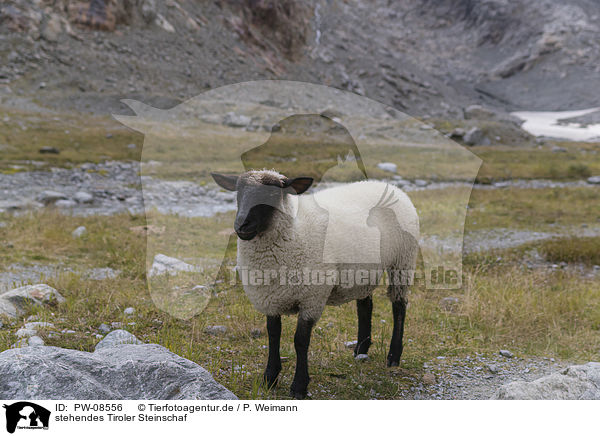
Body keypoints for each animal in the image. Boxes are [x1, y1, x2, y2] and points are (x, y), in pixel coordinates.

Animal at [213, 168, 420, 398]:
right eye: (238, 193)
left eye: (272, 194)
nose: (241, 226)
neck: (294, 232)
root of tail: (389, 186)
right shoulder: (271, 297)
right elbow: (273, 335)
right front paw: (270, 378)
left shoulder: (311, 298)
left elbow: (300, 341)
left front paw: (299, 386)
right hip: (364, 269)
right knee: (365, 305)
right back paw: (361, 349)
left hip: (403, 260)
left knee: (399, 305)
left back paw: (393, 356)